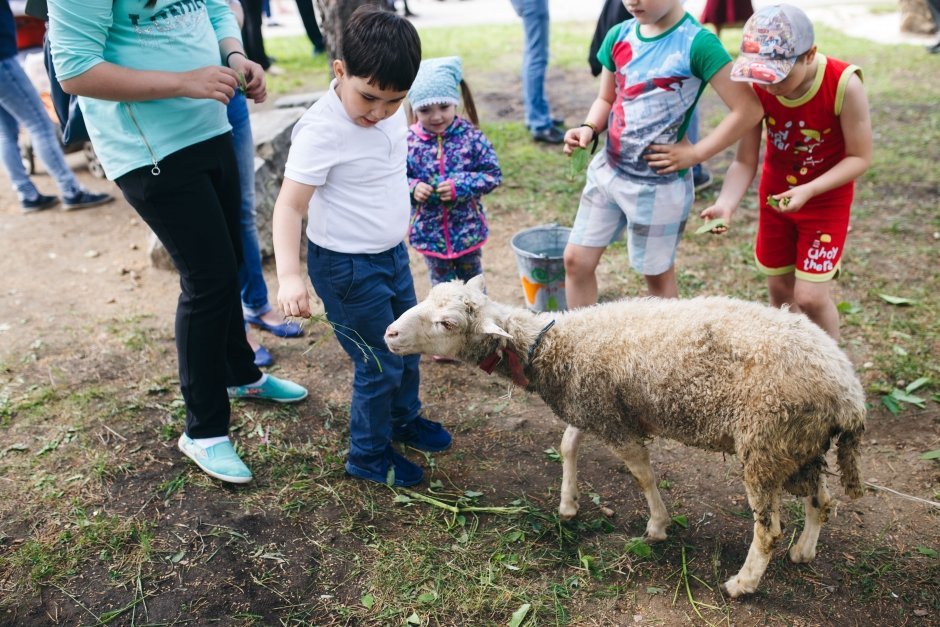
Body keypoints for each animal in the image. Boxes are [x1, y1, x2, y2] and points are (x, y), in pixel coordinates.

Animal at [384, 278, 868, 600]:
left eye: (447, 323)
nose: (389, 333)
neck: (547, 345)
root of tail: (850, 395)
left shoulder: (612, 420)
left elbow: (641, 475)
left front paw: (657, 526)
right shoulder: (590, 404)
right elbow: (568, 444)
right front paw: (568, 503)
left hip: (766, 444)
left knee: (768, 530)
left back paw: (742, 583)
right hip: (799, 446)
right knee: (822, 500)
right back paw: (804, 550)